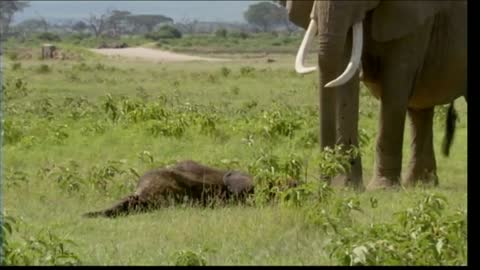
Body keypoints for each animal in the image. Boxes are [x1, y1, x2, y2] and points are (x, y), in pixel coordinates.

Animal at [280, 0, 466, 190]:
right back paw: (421, 184)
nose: (325, 184)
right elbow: (344, 71)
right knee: (420, 111)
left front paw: (382, 188)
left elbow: (396, 83)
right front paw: (347, 186)